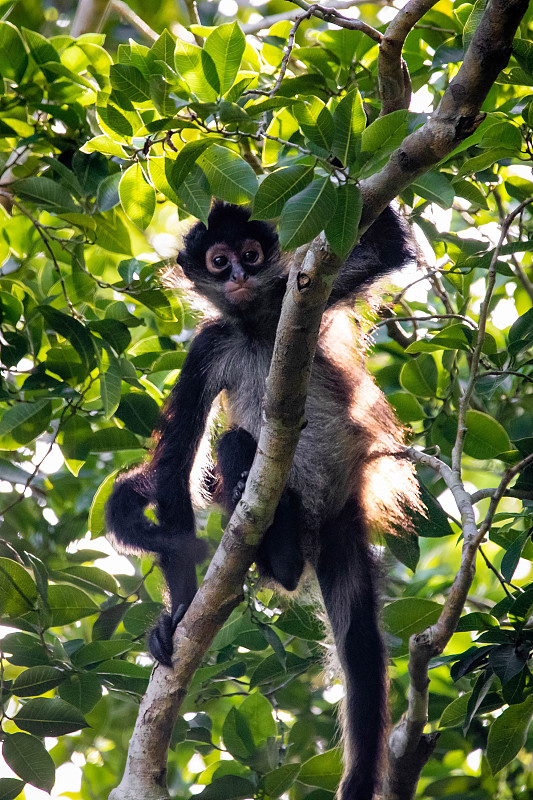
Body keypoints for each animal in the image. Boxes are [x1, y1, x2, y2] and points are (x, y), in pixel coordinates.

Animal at [105, 202, 420, 800]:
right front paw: (181, 609)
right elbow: (173, 468)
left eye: (250, 255)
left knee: (361, 650)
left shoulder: (302, 292)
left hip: (342, 522)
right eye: (218, 261)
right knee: (232, 442)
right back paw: (274, 542)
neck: (255, 328)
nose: (237, 275)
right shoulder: (209, 346)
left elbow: (388, 244)